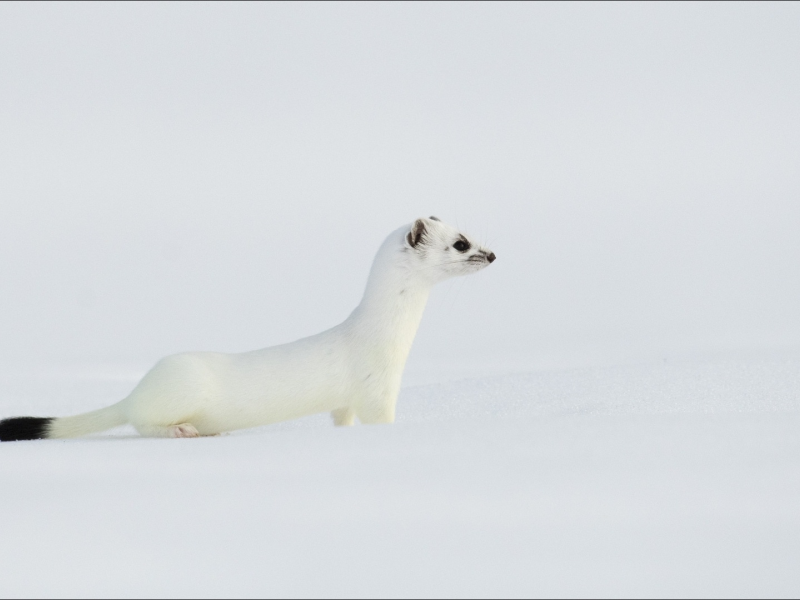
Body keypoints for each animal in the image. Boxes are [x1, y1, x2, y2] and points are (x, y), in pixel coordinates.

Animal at [0, 217, 494, 440]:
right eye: (461, 242)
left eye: (471, 230)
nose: (492, 254)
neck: (390, 338)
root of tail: (140, 387)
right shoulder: (377, 386)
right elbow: (380, 417)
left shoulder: (348, 399)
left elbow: (341, 417)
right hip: (178, 391)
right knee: (142, 423)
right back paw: (183, 430)